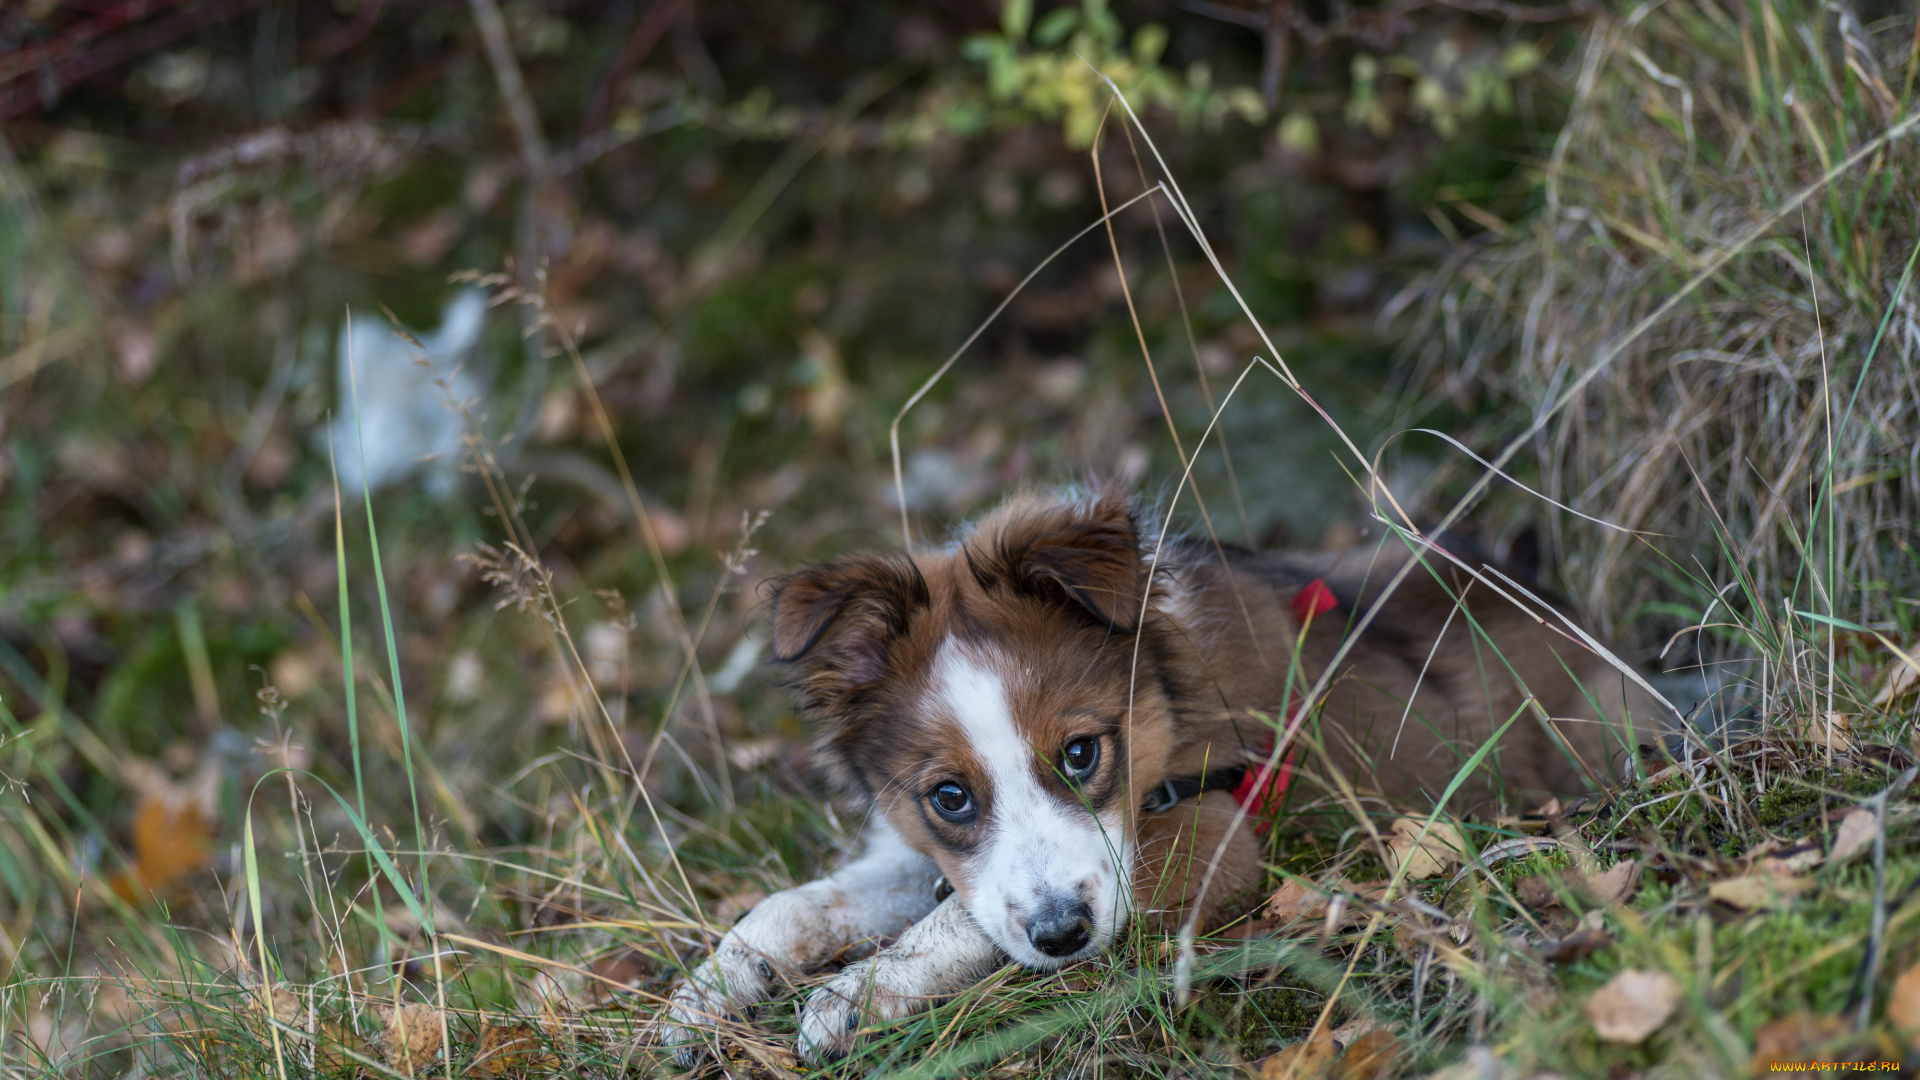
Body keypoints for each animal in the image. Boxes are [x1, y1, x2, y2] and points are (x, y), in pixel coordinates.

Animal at [664, 490, 1666, 1060]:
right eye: (950, 796)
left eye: (1080, 752)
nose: (1065, 938)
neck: (1168, 706)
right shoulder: (925, 851)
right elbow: (796, 906)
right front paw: (700, 1000)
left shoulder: (1210, 835)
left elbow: (960, 923)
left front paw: (852, 998)